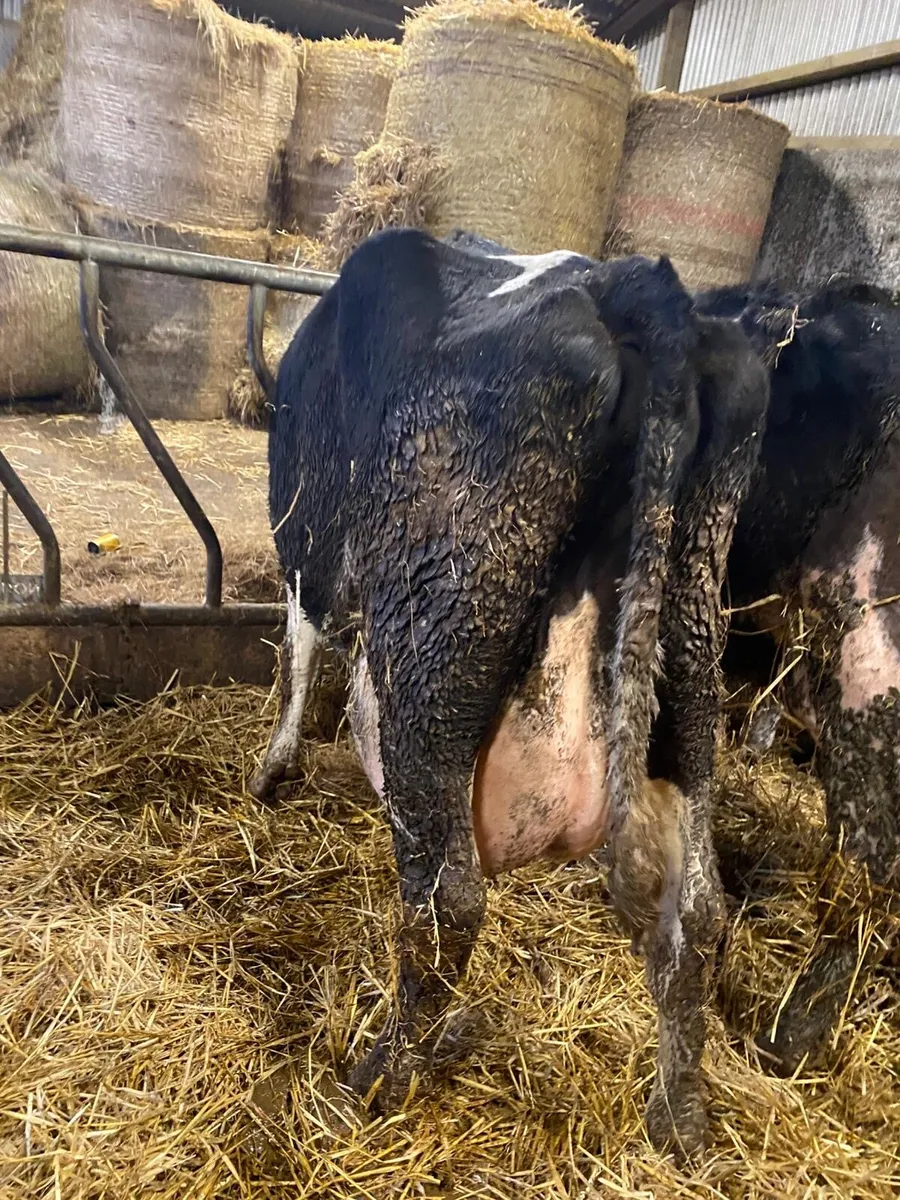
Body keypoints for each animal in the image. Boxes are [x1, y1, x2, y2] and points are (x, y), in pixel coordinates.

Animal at [249, 227, 769, 1155]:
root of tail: (633, 288)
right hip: (691, 663)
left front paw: (272, 771)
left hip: (435, 662)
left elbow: (297, 655)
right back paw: (680, 1118)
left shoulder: (306, 542)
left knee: (444, 903)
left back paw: (376, 1076)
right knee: (699, 911)